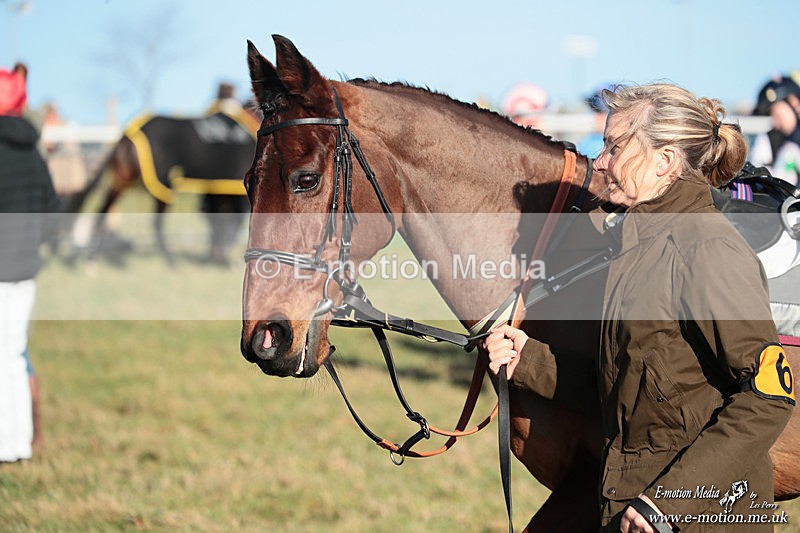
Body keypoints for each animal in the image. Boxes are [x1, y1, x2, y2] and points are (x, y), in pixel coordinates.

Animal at [63, 110, 256, 265]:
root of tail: (130, 133)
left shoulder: (216, 189)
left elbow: (217, 220)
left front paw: (218, 256)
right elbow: (232, 221)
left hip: (122, 181)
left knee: (103, 212)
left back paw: (91, 258)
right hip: (163, 186)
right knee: (156, 222)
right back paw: (170, 260)